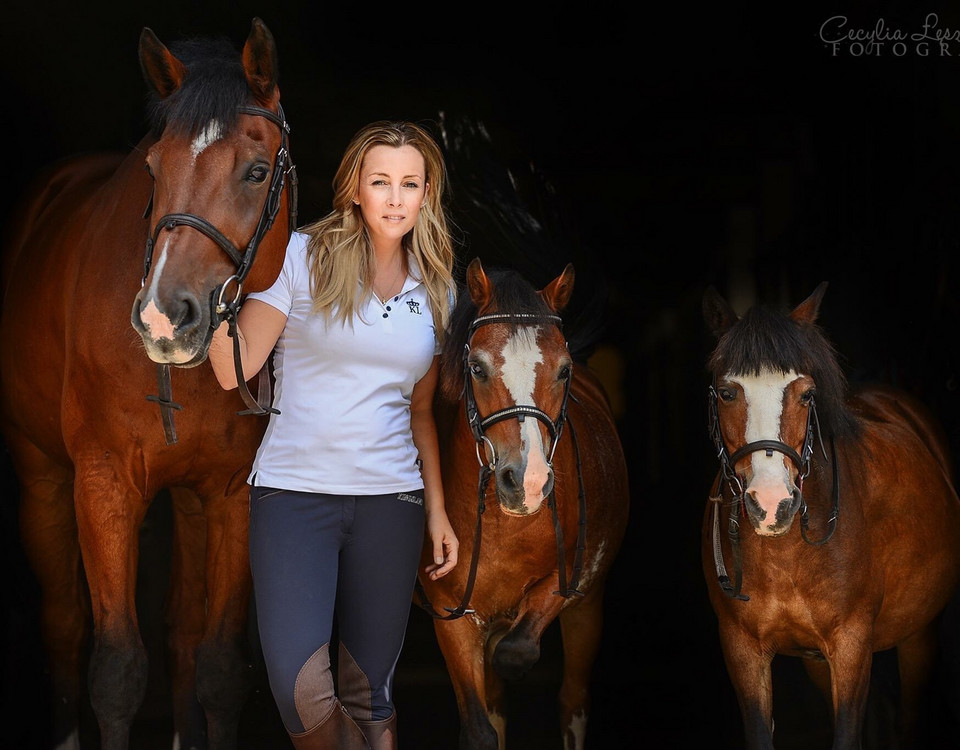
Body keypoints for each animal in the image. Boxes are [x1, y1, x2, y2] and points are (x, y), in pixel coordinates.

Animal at [0, 17, 296, 750]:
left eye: (256, 172)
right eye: (154, 170)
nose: (165, 315)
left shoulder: (230, 497)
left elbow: (218, 665)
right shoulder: (102, 485)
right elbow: (116, 669)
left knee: (181, 631)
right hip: (42, 478)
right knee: (63, 624)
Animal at [414, 260, 632, 750]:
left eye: (563, 371)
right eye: (476, 367)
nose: (528, 482)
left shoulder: (566, 581)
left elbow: (515, 653)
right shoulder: (451, 616)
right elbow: (480, 725)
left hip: (587, 610)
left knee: (572, 700)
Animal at [700, 284, 960, 750]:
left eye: (806, 394)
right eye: (728, 392)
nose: (771, 504)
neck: (785, 554)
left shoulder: (851, 646)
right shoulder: (743, 649)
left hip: (919, 636)